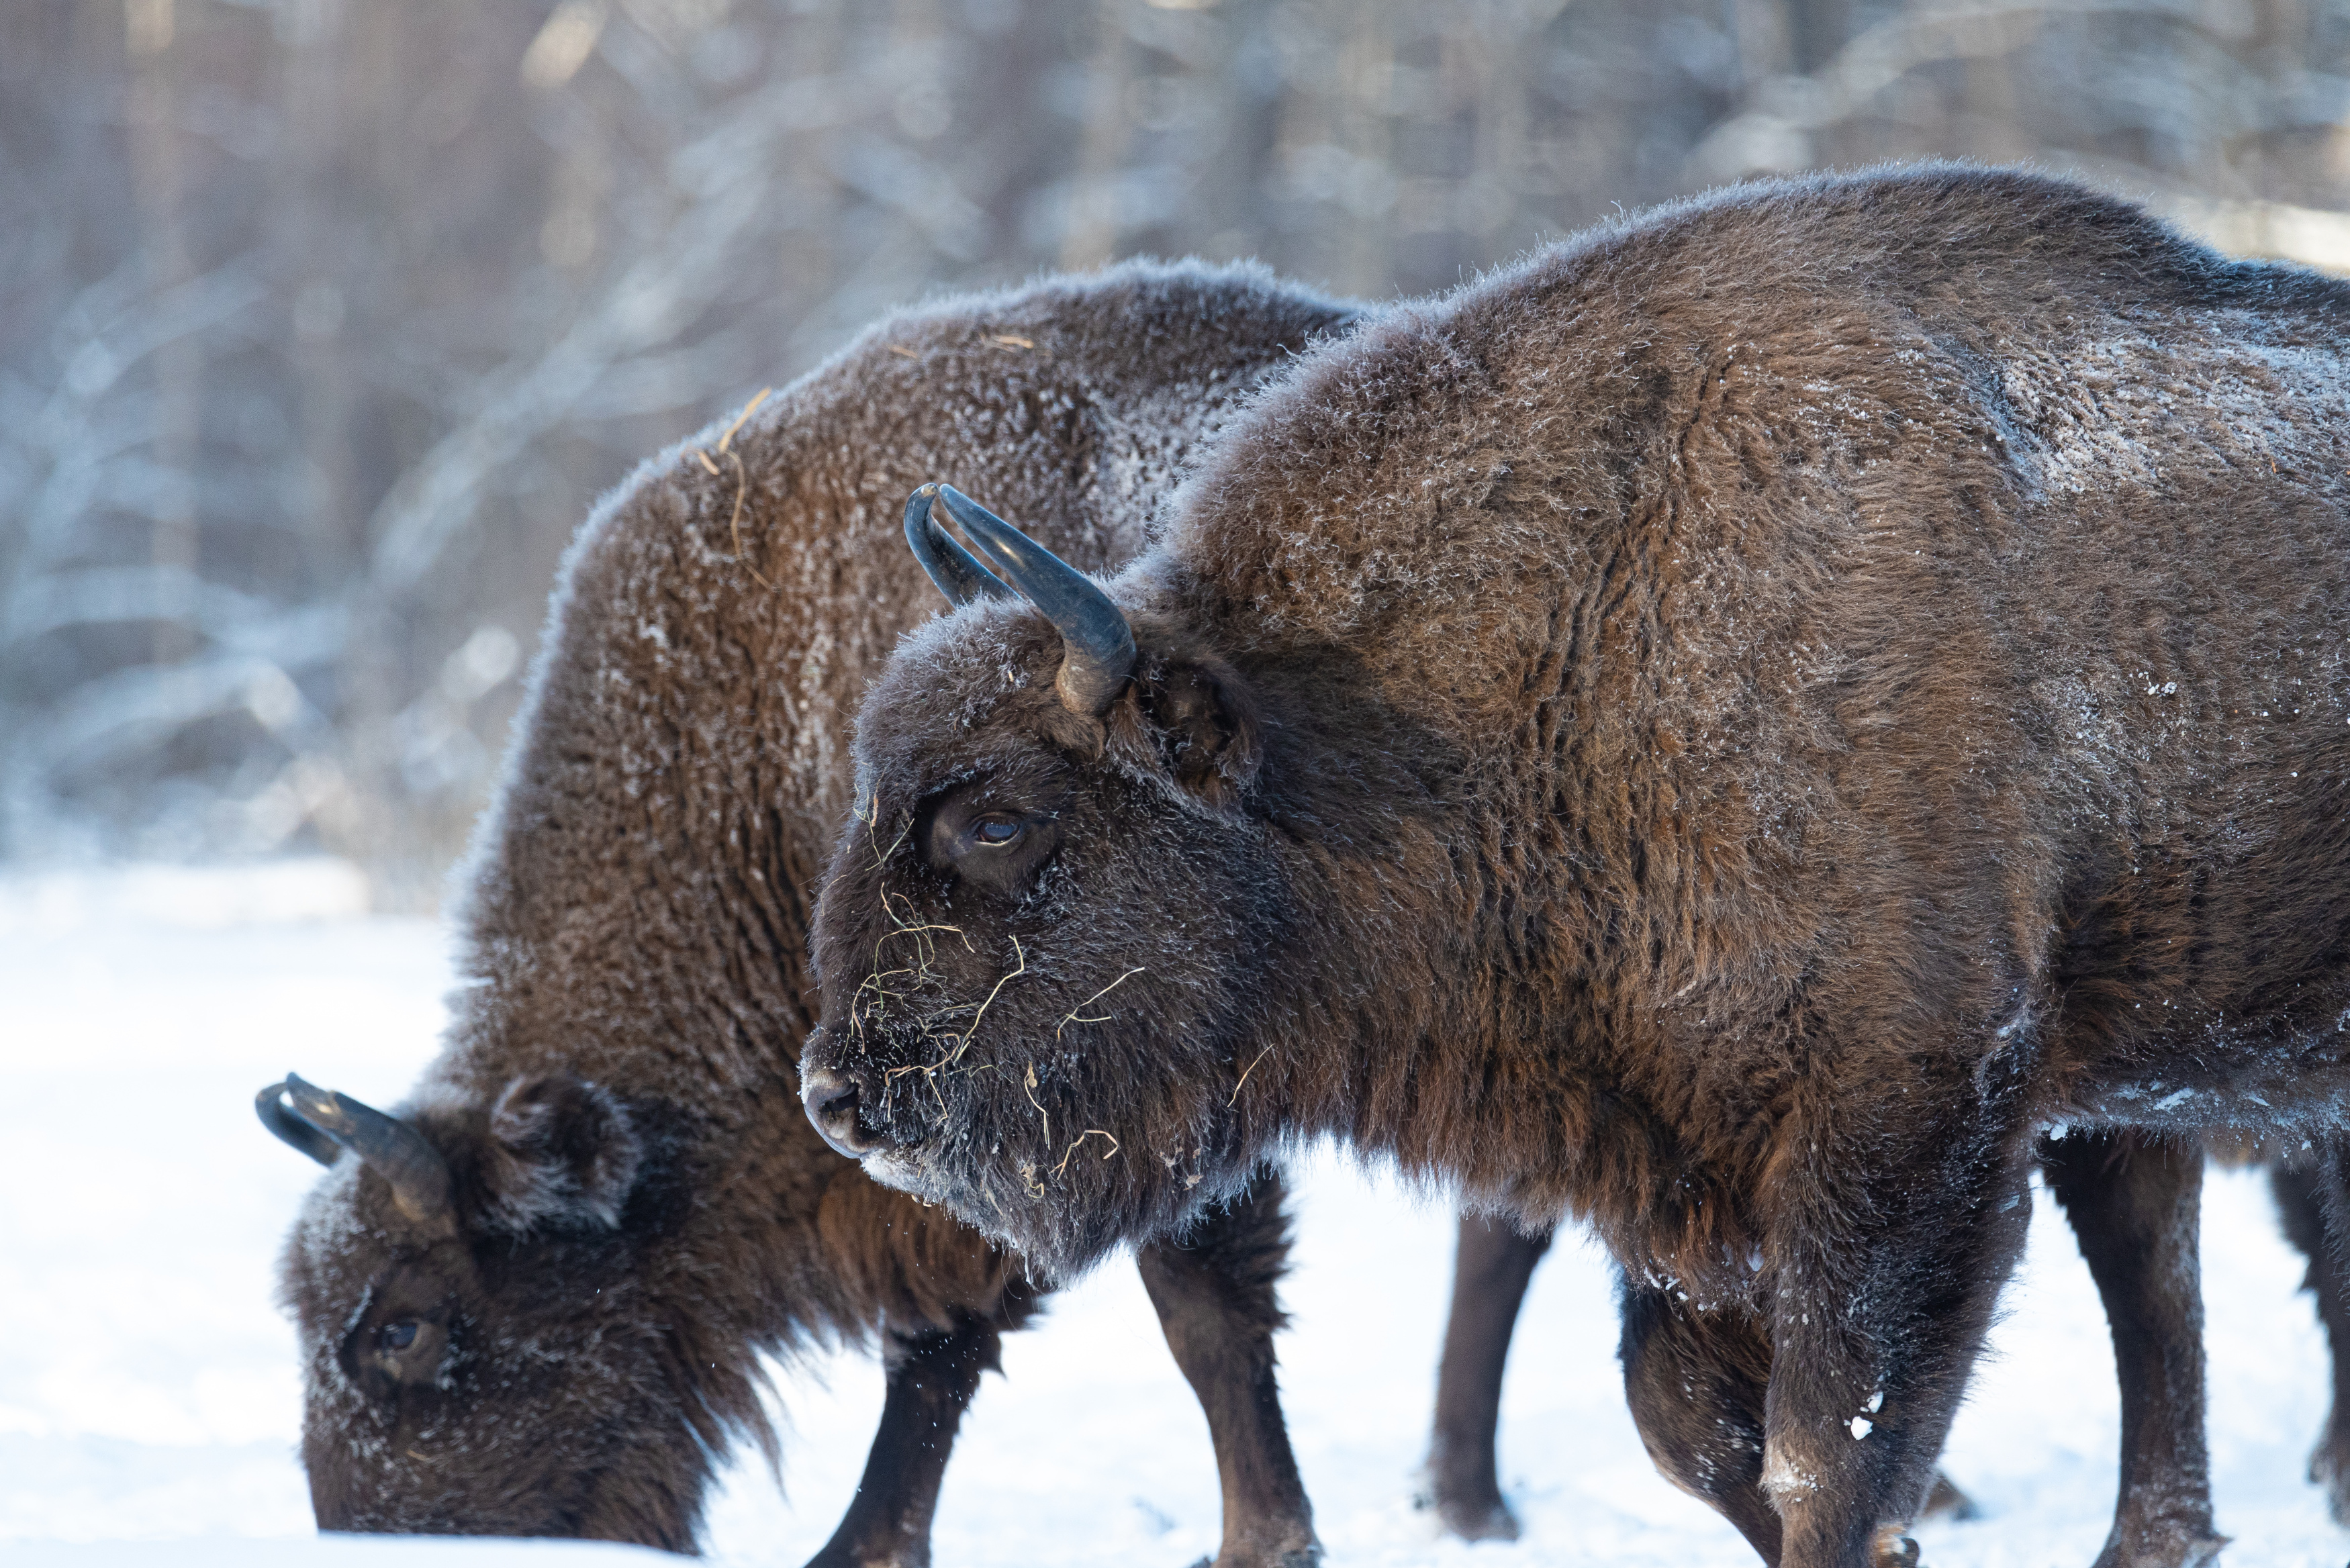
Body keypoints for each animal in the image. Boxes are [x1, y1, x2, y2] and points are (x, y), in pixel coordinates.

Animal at [804, 162, 2350, 1568]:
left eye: (999, 818)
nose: (838, 1097)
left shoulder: (1911, 1124)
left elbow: (1822, 1449)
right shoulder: (1684, 1162)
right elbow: (1681, 1419)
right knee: (2157, 1286)